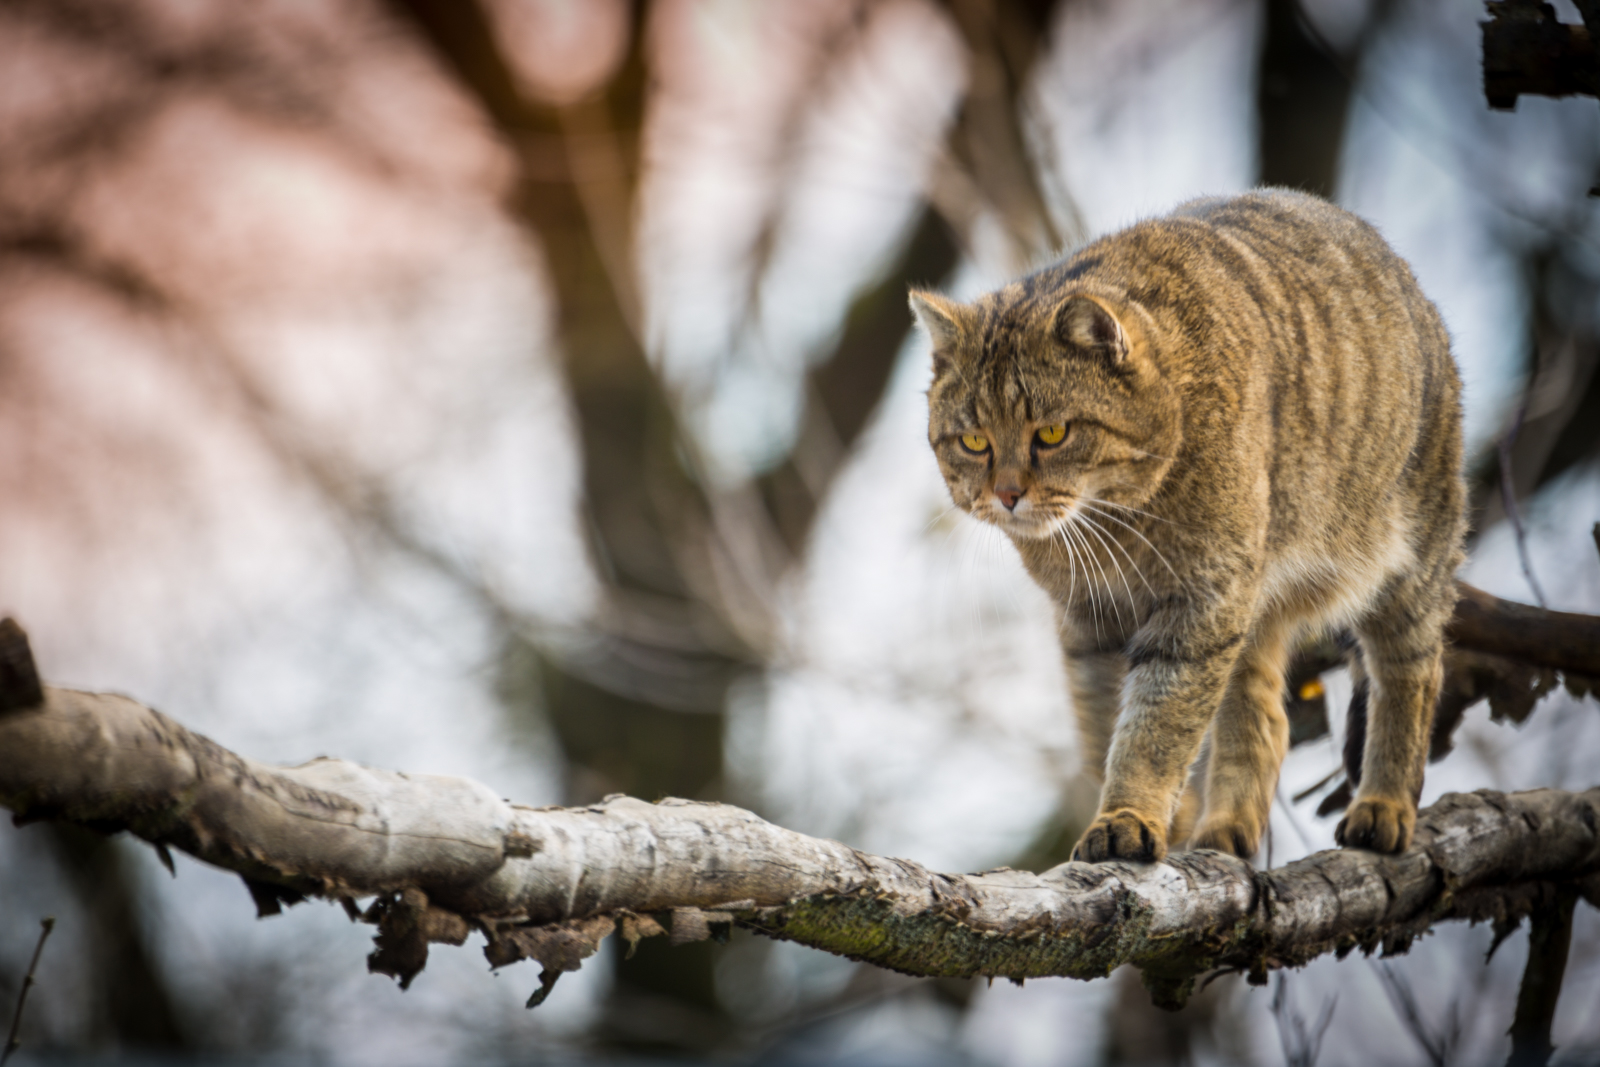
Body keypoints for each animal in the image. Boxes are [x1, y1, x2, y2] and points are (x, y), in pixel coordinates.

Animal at [915, 187, 1465, 863]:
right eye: (973, 441)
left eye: (1052, 433)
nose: (1007, 494)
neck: (1116, 528)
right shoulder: (1092, 622)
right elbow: (1106, 726)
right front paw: (1146, 815)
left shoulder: (1200, 603)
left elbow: (1157, 726)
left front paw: (1127, 816)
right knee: (1264, 714)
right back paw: (1225, 827)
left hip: (1412, 563)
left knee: (1411, 672)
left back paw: (1384, 804)